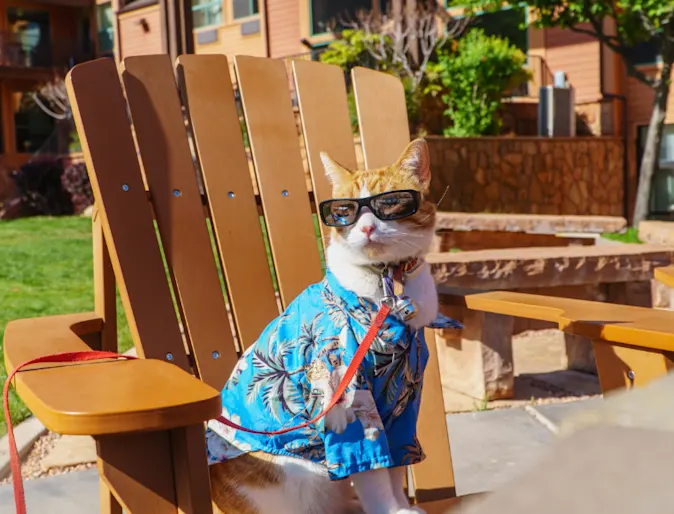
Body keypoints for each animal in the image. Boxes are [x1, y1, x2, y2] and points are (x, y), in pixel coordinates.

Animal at [209, 138, 440, 512]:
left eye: (391, 203)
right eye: (344, 210)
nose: (367, 227)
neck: (387, 286)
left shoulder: (402, 403)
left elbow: (395, 467)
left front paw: (403, 506)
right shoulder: (354, 404)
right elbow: (374, 471)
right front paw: (389, 509)